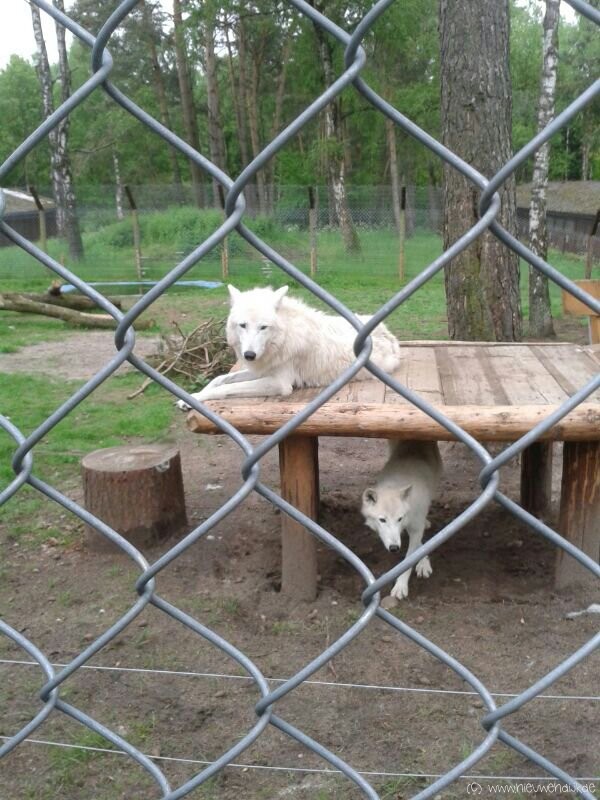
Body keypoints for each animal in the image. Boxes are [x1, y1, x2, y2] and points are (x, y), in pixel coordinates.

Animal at [178, 284, 404, 406]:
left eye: (263, 327)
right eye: (243, 325)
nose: (249, 355)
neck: (283, 338)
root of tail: (388, 333)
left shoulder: (280, 383)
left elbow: (227, 387)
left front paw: (196, 398)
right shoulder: (263, 369)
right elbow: (221, 378)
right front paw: (188, 398)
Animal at [360, 440, 440, 604]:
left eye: (399, 518)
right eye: (382, 520)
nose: (394, 548)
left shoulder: (416, 526)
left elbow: (408, 559)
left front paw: (401, 586)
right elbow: (418, 545)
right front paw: (423, 561)